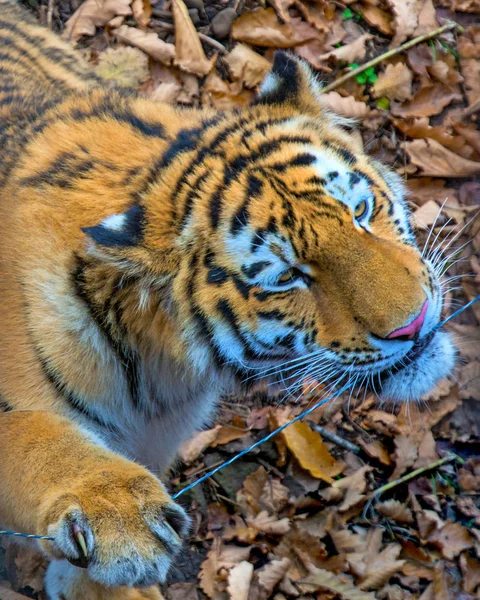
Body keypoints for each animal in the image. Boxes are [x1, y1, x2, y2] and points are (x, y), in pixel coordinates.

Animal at [0, 1, 458, 600]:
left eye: (360, 211)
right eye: (286, 277)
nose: (414, 322)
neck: (156, 369)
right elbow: (35, 436)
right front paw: (115, 511)